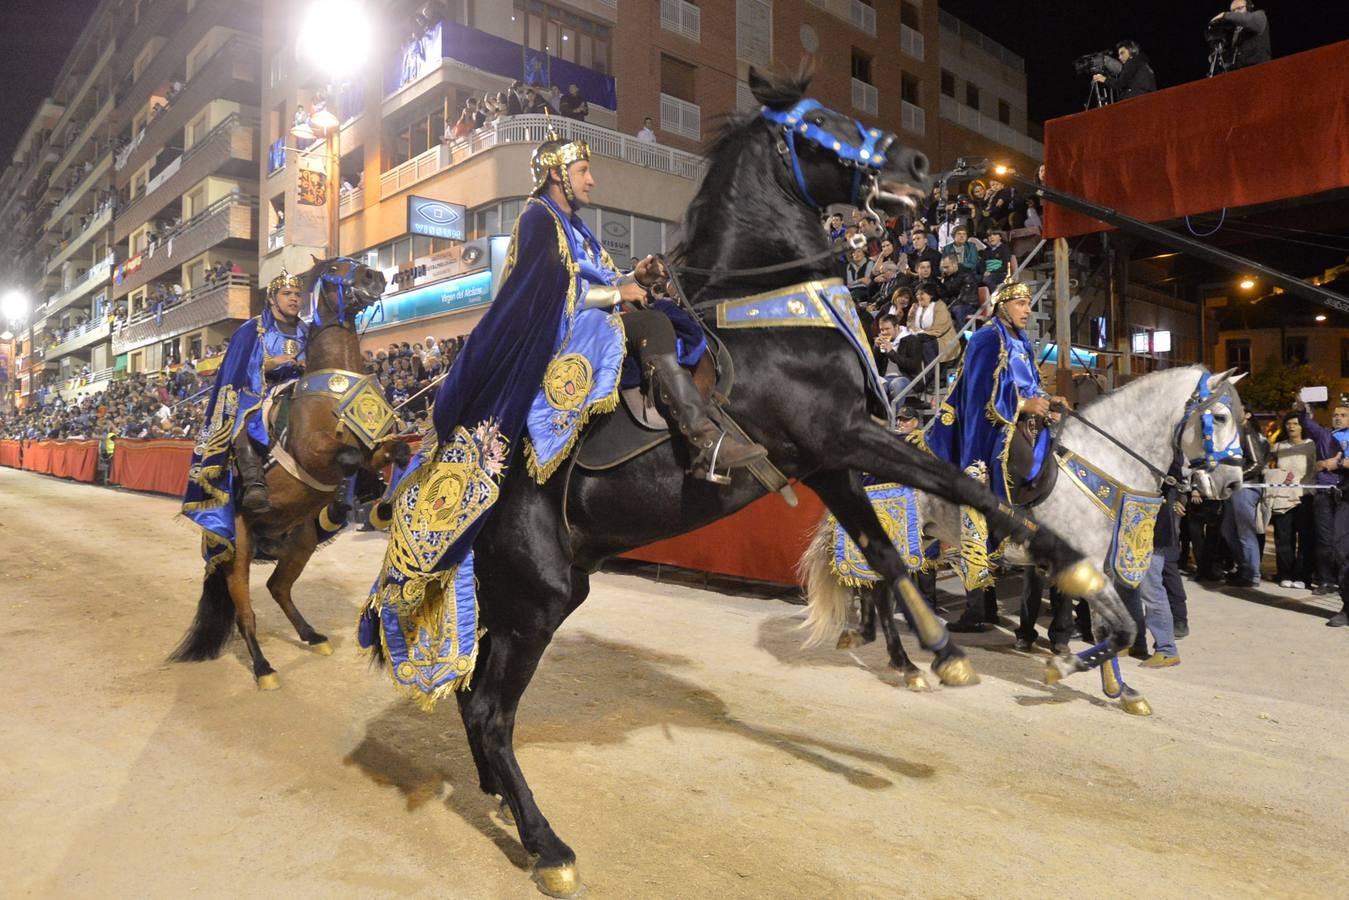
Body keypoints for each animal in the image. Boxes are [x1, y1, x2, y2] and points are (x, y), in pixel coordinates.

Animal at [167, 256, 402, 696]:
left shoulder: (377, 443)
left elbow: (398, 452)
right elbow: (347, 458)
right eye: (338, 267)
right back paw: (264, 668)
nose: (375, 276)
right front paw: (345, 502)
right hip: (239, 550)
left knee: (278, 587)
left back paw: (312, 635)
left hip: (300, 542)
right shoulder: (315, 455)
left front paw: (380, 505)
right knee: (246, 613)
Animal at [369, 68, 1127, 895]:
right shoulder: (840, 436)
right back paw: (548, 846)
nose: (922, 169)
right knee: (488, 712)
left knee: (477, 702)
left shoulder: (827, 462)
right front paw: (1081, 578)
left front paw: (940, 647)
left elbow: (884, 548)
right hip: (535, 602)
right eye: (822, 123)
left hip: (540, 596)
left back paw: (501, 801)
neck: (772, 309)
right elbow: (968, 489)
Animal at [793, 361, 1246, 712]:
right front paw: (1063, 668)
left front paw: (1121, 689)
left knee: (880, 590)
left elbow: (1113, 630)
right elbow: (1122, 631)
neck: (1101, 462)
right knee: (884, 592)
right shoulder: (1086, 564)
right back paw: (905, 665)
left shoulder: (1098, 568)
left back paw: (876, 644)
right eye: (1221, 418)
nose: (1232, 484)